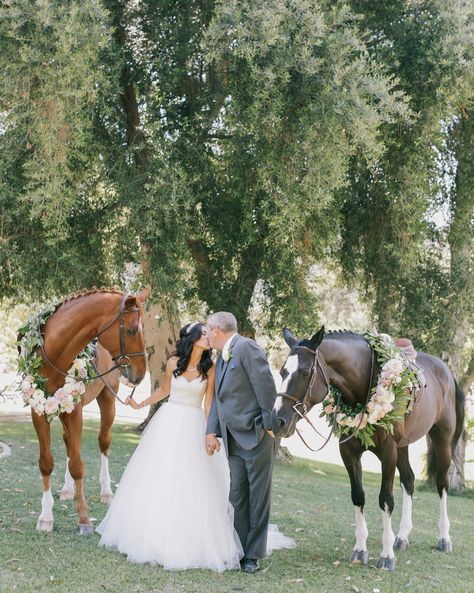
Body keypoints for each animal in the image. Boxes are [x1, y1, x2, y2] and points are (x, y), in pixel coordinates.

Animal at [22, 290, 147, 536]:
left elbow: (78, 466)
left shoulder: (75, 413)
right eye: (131, 330)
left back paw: (106, 491)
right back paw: (67, 489)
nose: (141, 373)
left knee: (103, 442)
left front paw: (83, 519)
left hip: (107, 401)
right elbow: (47, 462)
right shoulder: (38, 412)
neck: (53, 354)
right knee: (68, 442)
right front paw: (46, 517)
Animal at [272, 328, 464, 568]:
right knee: (409, 480)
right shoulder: (349, 453)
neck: (365, 385)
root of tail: (446, 372)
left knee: (442, 483)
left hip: (442, 439)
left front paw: (386, 555)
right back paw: (402, 536)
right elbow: (358, 496)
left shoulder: (388, 454)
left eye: (305, 372)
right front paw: (360, 549)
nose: (277, 421)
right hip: (404, 445)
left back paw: (444, 538)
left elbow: (386, 500)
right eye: (282, 372)